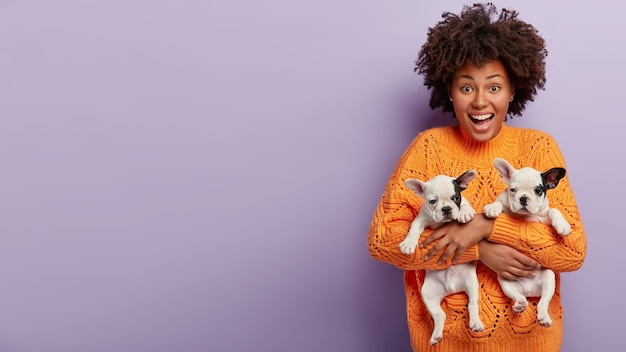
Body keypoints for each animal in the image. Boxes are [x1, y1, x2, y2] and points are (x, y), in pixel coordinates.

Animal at [400, 169, 482, 346]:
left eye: (456, 197)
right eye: (432, 201)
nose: (446, 209)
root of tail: (451, 288)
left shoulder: (463, 202)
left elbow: (466, 205)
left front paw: (465, 213)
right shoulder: (421, 218)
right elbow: (414, 228)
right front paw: (408, 243)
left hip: (471, 283)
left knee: (472, 304)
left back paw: (475, 323)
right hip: (428, 294)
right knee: (440, 315)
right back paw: (436, 336)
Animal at [482, 157, 572, 328]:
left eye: (538, 190)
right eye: (512, 190)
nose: (523, 198)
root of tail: (530, 291)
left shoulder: (543, 219)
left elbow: (554, 210)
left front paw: (562, 225)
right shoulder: (504, 201)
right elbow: (499, 202)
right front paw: (492, 208)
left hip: (549, 277)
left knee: (543, 302)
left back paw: (544, 317)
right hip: (505, 280)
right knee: (519, 296)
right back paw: (520, 305)